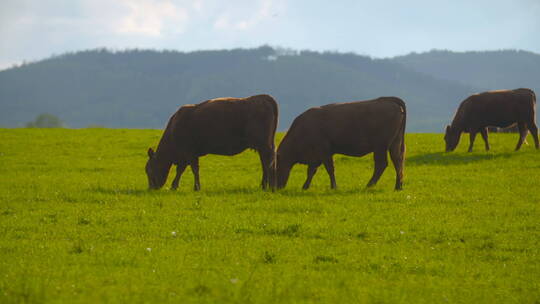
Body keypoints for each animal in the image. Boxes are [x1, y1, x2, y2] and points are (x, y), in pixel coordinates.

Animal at [144, 94, 278, 191]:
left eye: (148, 169)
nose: (151, 188)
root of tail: (263, 97)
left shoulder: (189, 152)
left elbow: (191, 169)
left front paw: (195, 187)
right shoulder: (187, 155)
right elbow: (183, 170)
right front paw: (175, 186)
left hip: (263, 145)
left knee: (268, 163)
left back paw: (267, 186)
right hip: (265, 145)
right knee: (268, 163)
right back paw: (267, 186)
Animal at [276, 97, 408, 191]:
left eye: (276, 166)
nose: (276, 187)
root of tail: (388, 100)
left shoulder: (324, 152)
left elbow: (329, 169)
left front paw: (334, 187)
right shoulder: (317, 156)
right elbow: (312, 171)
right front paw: (305, 186)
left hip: (380, 147)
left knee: (382, 164)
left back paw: (369, 185)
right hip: (394, 144)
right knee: (398, 161)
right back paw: (398, 186)